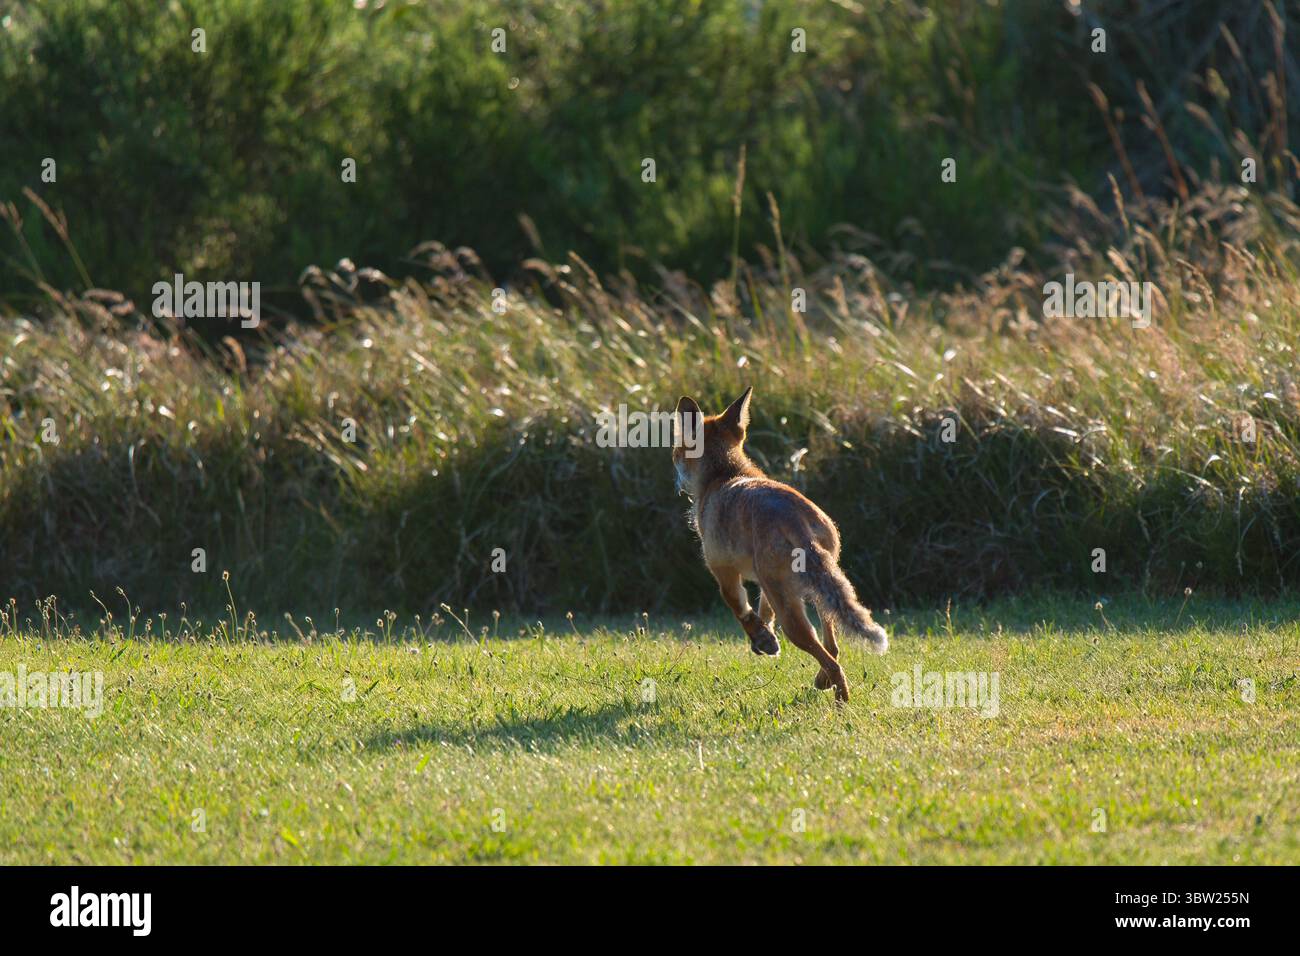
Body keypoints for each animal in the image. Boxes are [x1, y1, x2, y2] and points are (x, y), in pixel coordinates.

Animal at [673, 387, 888, 702]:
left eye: (676, 452)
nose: (676, 478)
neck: (725, 476)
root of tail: (792, 517)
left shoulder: (723, 571)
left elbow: (741, 610)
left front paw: (762, 639)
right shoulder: (766, 585)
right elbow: (763, 613)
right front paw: (762, 640)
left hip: (792, 616)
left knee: (831, 660)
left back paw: (841, 701)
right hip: (814, 592)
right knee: (833, 647)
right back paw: (823, 682)